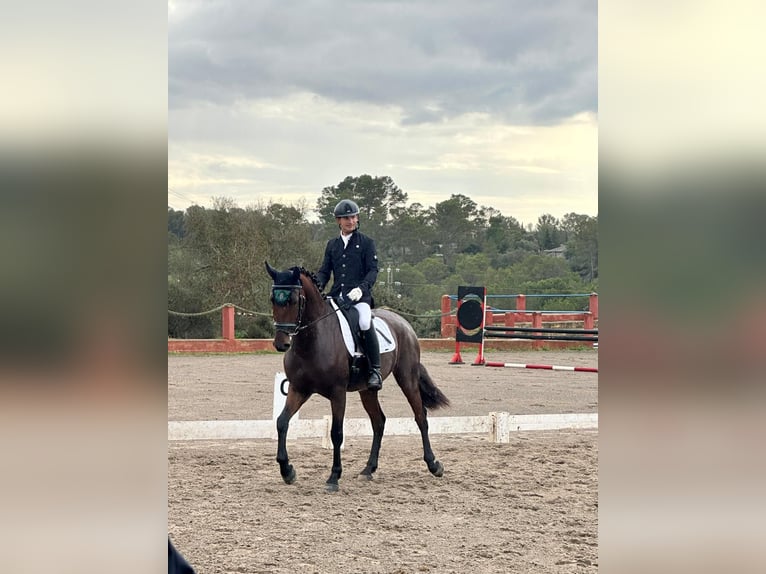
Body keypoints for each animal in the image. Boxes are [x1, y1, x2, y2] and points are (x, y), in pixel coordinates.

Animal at [265, 262, 450, 492]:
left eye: (294, 300)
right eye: (273, 299)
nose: (281, 343)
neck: (312, 341)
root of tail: (403, 322)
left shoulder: (337, 393)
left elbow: (336, 433)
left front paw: (333, 477)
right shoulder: (298, 389)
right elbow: (282, 422)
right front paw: (287, 471)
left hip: (407, 378)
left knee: (420, 417)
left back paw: (434, 465)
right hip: (367, 390)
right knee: (379, 422)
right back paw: (368, 470)